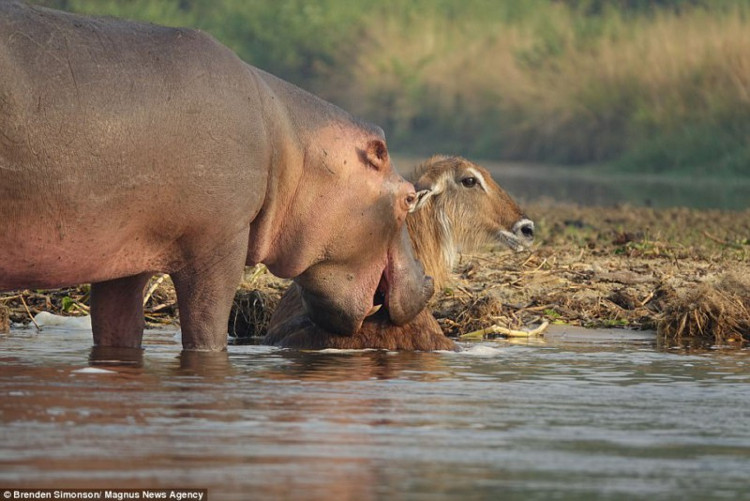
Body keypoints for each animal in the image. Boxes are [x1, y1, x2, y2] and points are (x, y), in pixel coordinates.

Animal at [0, 2, 432, 351]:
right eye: (409, 197)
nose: (428, 282)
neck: (294, 147)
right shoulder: (219, 243)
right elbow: (207, 324)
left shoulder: (123, 257)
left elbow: (118, 329)